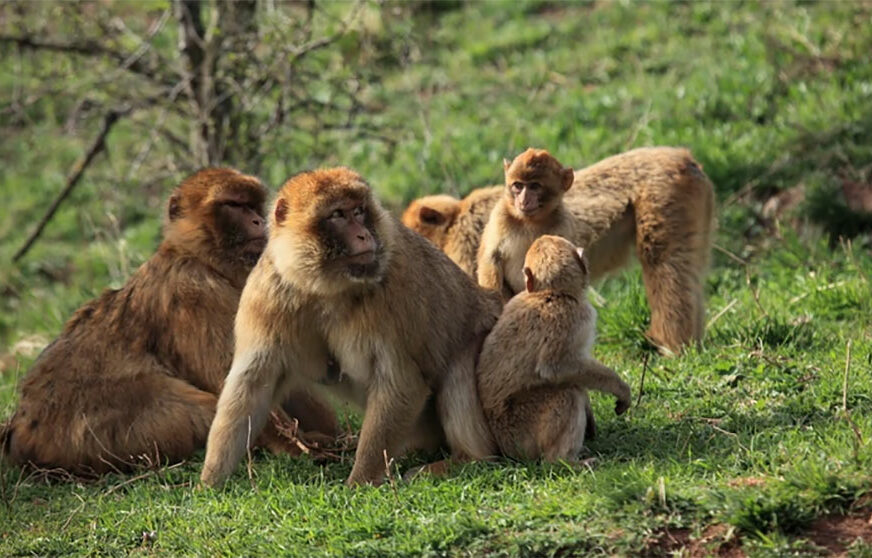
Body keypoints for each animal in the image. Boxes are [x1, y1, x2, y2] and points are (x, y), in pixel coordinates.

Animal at [0, 167, 338, 476]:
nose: (258, 221)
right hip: (95, 436)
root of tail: (20, 429)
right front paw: (304, 447)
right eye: (233, 205)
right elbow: (238, 384)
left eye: (253, 205)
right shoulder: (193, 292)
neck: (200, 258)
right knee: (195, 410)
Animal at [201, 168, 500, 488]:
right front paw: (209, 482)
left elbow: (400, 380)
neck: (323, 287)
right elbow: (251, 386)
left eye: (358, 211)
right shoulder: (266, 294)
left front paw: (360, 480)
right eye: (338, 215)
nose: (364, 234)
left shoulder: (393, 291)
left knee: (458, 366)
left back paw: (466, 458)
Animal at [476, 147, 716, 352]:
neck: (530, 221)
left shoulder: (561, 223)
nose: (524, 200)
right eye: (518, 185)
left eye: (534, 186)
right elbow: (491, 259)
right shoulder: (500, 217)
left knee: (662, 259)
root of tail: (688, 159)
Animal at [476, 236, 632, 464]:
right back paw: (562, 461)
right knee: (568, 393)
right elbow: (556, 368)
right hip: (521, 433)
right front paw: (620, 388)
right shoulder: (573, 316)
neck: (552, 293)